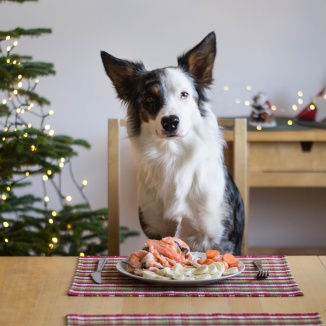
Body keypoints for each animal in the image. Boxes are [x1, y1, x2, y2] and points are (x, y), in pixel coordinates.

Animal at [101, 31, 244, 255]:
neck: (173, 156)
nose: (170, 122)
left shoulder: (221, 240)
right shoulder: (156, 231)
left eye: (184, 94)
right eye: (149, 99)